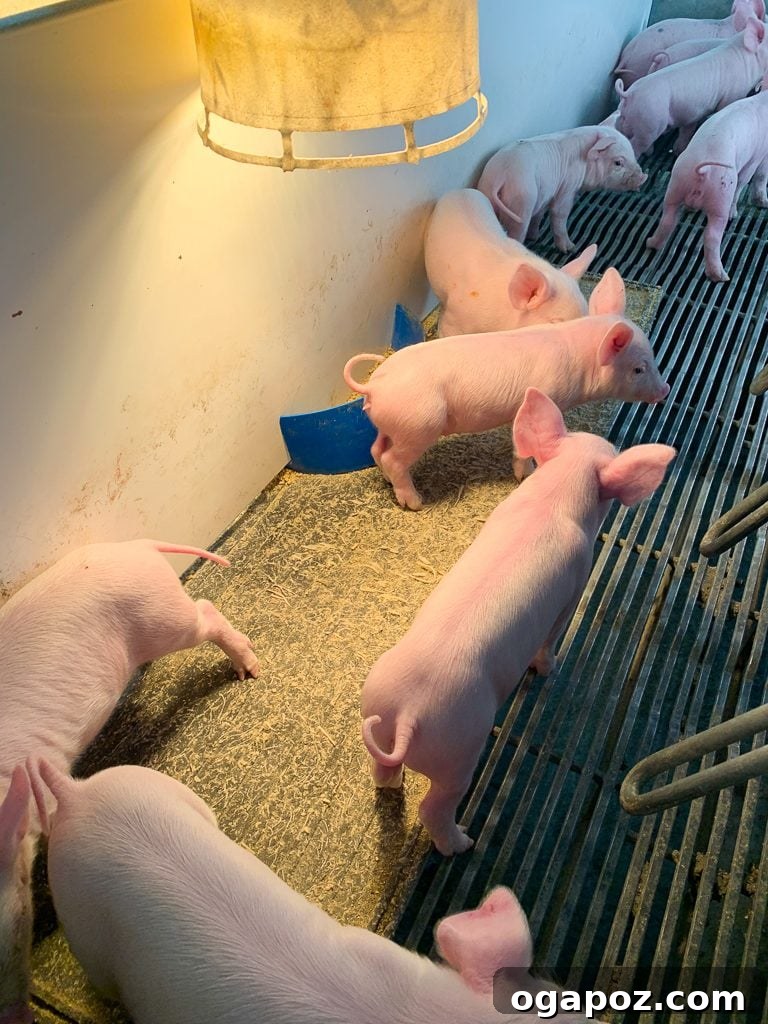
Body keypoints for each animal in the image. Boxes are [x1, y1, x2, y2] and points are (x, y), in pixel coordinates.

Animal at [0, 540, 259, 1024]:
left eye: (19, 912)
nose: (17, 1015)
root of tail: (138, 545)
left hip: (161, 617)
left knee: (204, 612)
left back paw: (250, 670)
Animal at [343, 268, 669, 511]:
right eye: (639, 369)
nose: (665, 390)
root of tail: (375, 386)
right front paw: (527, 474)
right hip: (418, 425)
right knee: (392, 459)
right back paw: (415, 502)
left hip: (393, 425)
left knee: (376, 449)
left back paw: (387, 481)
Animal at [361, 388, 676, 855]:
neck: (553, 500)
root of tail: (407, 714)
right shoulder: (573, 587)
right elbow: (550, 640)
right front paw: (549, 670)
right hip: (461, 747)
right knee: (433, 807)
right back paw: (464, 842)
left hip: (377, 711)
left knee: (382, 773)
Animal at [476, 126, 647, 253]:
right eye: (618, 162)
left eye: (633, 154)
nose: (643, 177)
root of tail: (501, 176)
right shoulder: (568, 188)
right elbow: (560, 214)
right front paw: (571, 248)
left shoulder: (545, 195)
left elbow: (538, 215)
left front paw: (535, 237)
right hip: (521, 202)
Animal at [646, 80, 768, 281]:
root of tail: (703, 169)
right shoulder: (757, 157)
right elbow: (754, 178)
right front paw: (762, 203)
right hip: (720, 197)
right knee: (712, 235)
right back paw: (721, 276)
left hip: (676, 185)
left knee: (668, 219)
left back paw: (651, 243)